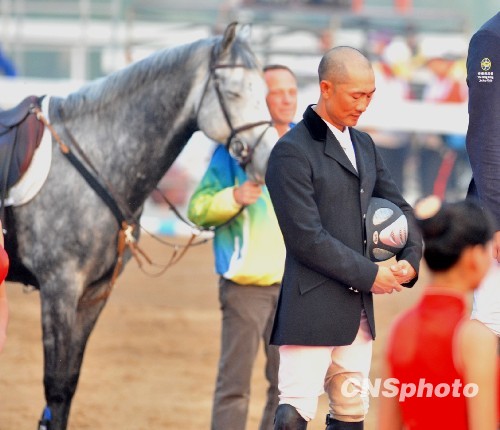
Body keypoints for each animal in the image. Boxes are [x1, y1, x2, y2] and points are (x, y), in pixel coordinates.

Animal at [3, 22, 278, 430]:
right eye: (233, 92)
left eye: (264, 91)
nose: (268, 158)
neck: (95, 155)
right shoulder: (59, 288)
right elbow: (54, 386)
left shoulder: (94, 293)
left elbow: (67, 386)